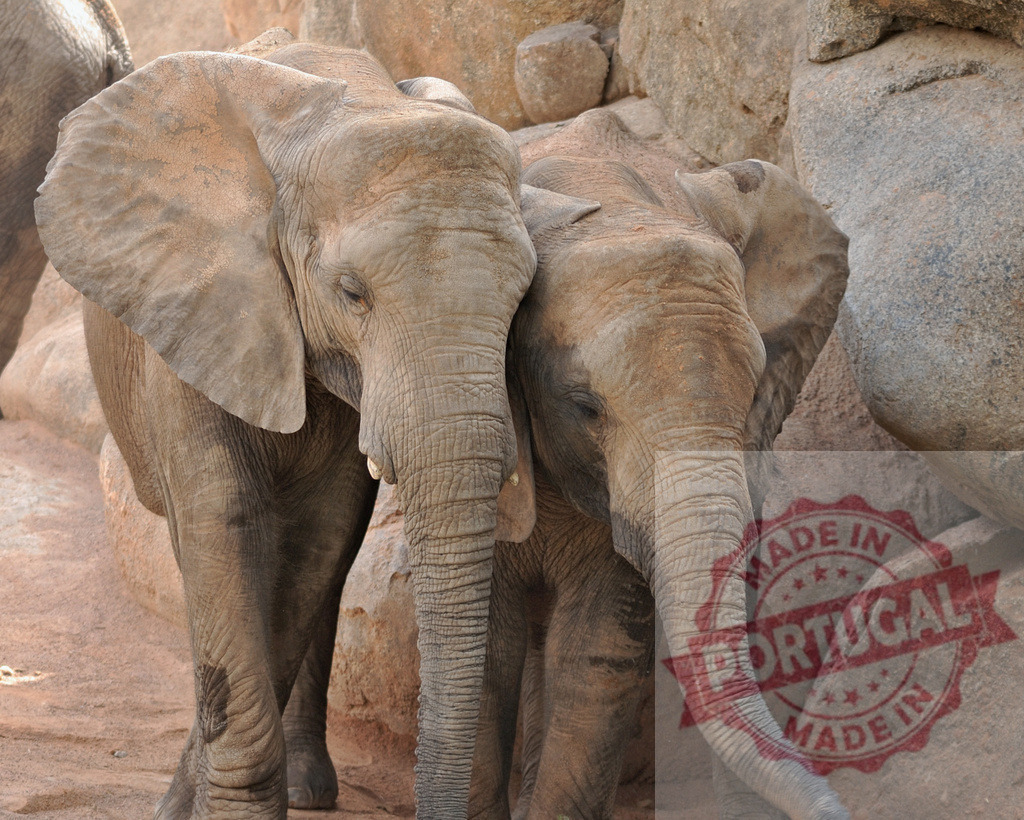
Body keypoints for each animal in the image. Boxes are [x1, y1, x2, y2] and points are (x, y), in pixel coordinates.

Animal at [35, 41, 538, 818]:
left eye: (523, 298)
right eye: (352, 293)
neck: (346, 102)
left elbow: (318, 537)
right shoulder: (199, 308)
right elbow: (225, 522)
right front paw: (211, 805)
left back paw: (307, 786)